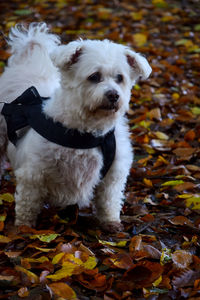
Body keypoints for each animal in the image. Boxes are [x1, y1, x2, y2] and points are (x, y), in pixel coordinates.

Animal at [0, 22, 152, 230]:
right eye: (94, 76)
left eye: (120, 78)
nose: (113, 95)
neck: (86, 131)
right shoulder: (33, 176)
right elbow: (27, 205)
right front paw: (24, 228)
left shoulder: (112, 175)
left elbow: (109, 200)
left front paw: (110, 222)